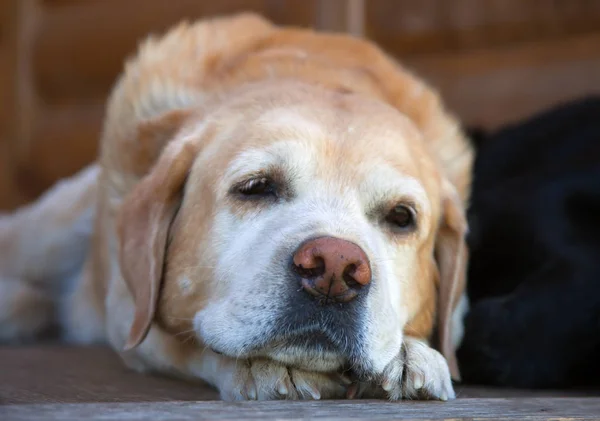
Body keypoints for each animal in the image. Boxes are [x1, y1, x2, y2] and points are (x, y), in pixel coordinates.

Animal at [0, 13, 474, 400]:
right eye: (256, 187)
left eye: (401, 217)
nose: (334, 268)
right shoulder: (128, 315)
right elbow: (184, 339)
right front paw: (261, 367)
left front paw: (411, 353)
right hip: (47, 235)